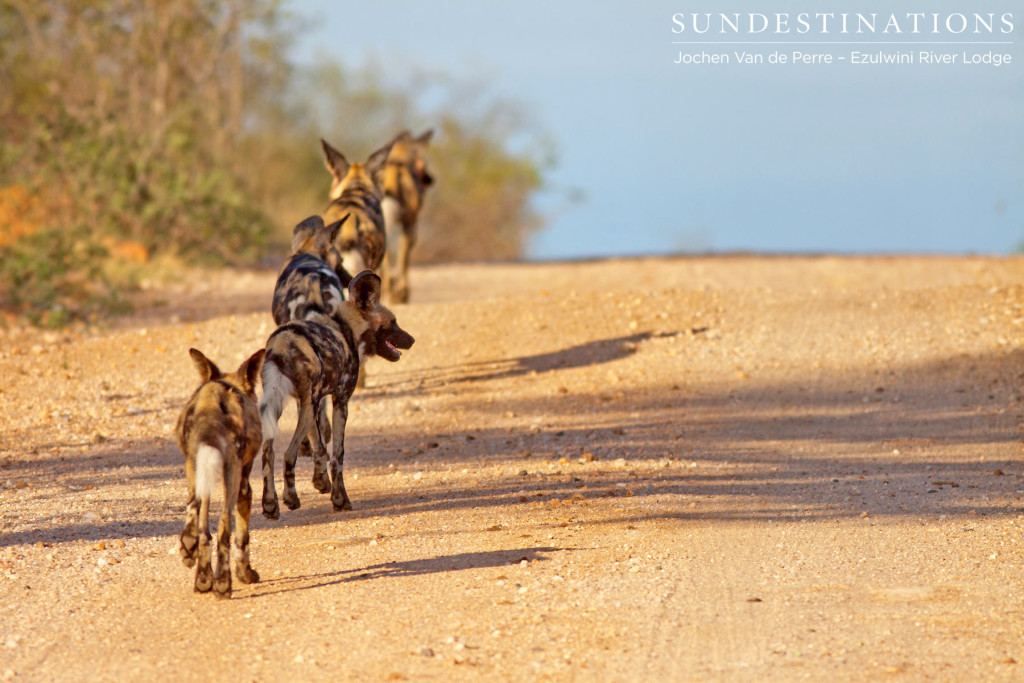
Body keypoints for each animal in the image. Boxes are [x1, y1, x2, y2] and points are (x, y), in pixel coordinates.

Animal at [177, 348, 266, 598]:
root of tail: (213, 400)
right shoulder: (245, 486)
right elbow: (242, 538)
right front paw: (245, 574)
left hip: (195, 467)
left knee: (199, 525)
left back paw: (202, 576)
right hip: (232, 475)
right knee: (223, 529)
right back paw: (223, 584)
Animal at [258, 270, 413, 516]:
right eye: (393, 322)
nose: (412, 339)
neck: (346, 330)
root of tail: (284, 341)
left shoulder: (307, 402)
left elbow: (320, 448)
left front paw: (322, 483)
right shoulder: (340, 400)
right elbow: (338, 456)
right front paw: (340, 499)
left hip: (281, 405)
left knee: (268, 454)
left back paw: (270, 504)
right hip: (305, 407)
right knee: (289, 454)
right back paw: (291, 499)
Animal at [382, 129, 434, 305]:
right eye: (423, 163)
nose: (430, 179)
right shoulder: (411, 224)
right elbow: (403, 259)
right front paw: (402, 294)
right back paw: (396, 293)